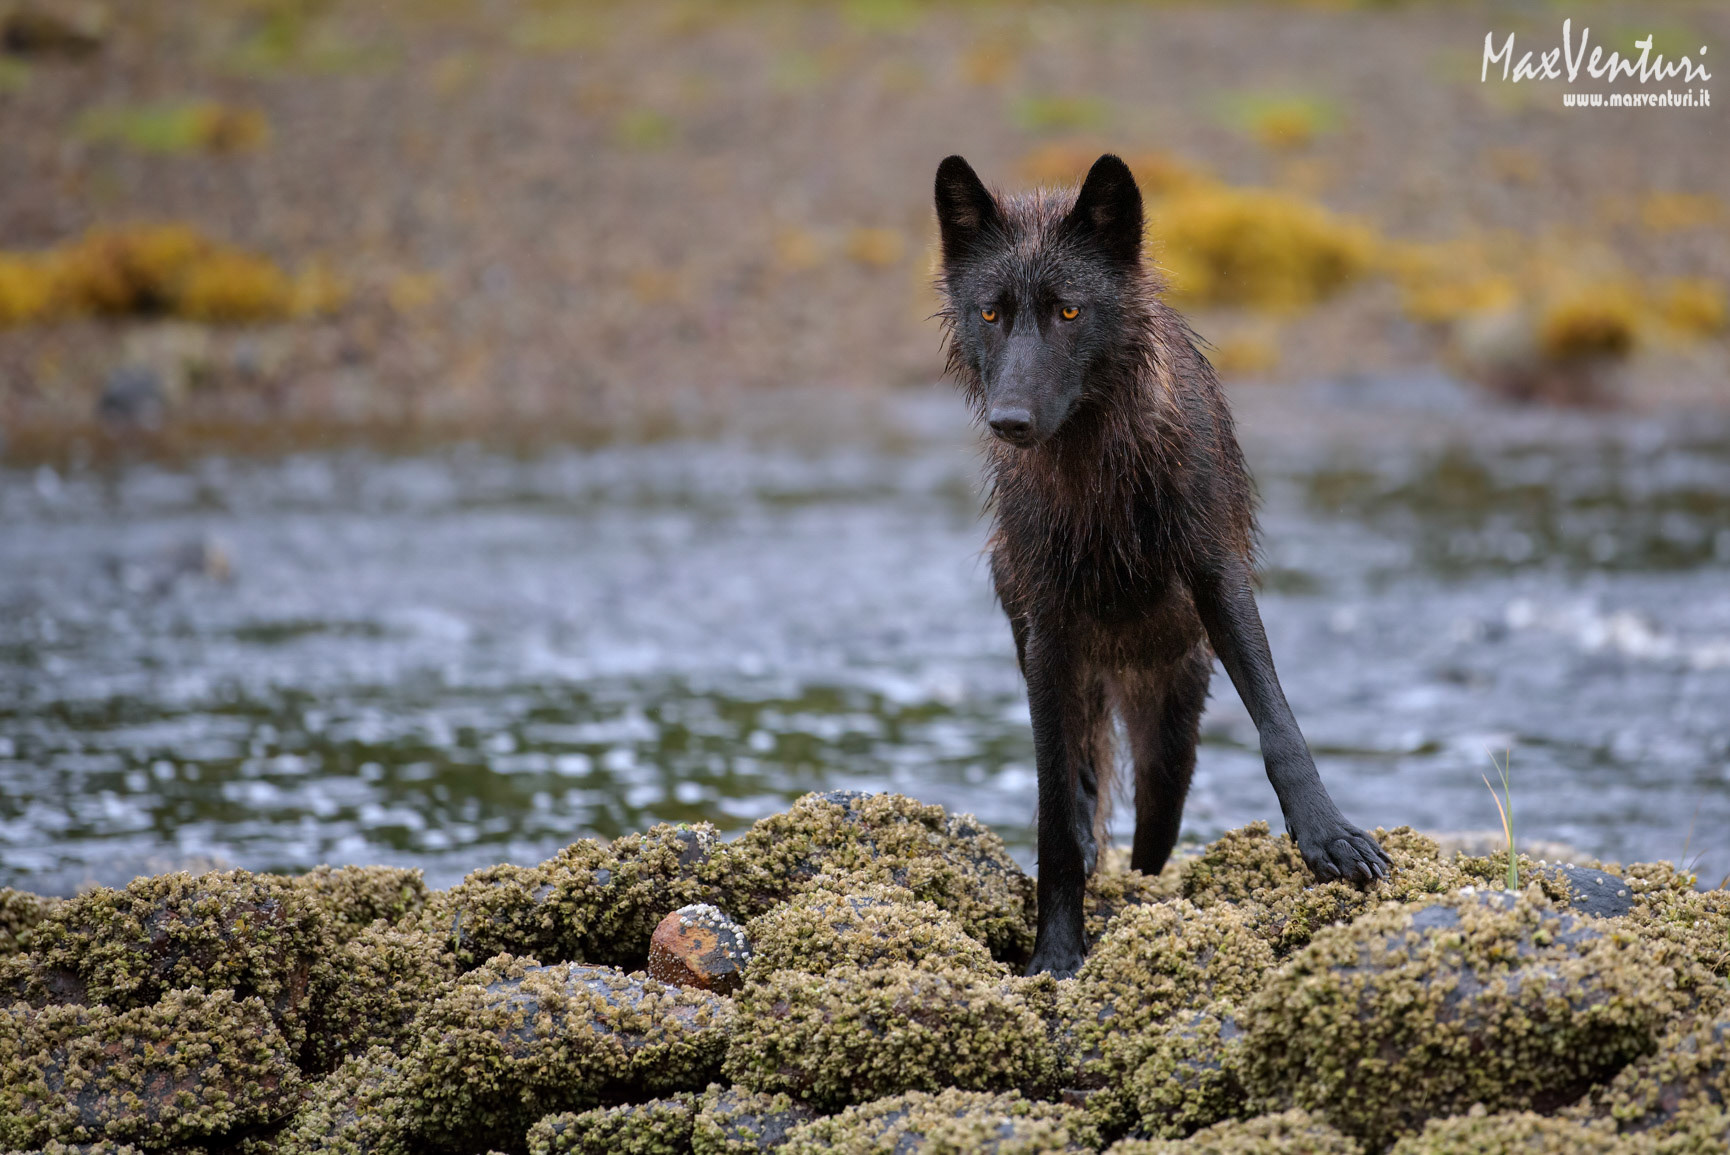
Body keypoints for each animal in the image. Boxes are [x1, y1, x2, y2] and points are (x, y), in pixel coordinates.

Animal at [934, 153, 1390, 975]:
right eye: (990, 314)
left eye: (1069, 312)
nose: (1010, 421)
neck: (1095, 472)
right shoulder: (1049, 630)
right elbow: (1054, 815)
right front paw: (1056, 953)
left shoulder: (1216, 573)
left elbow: (1280, 727)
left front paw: (1328, 835)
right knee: (1081, 791)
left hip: (1171, 754)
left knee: (1152, 845)